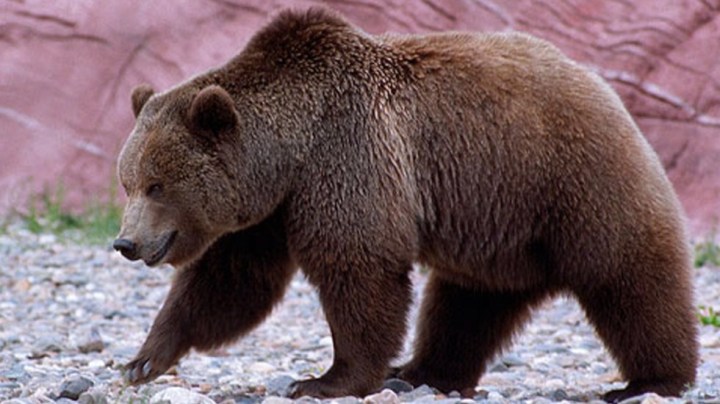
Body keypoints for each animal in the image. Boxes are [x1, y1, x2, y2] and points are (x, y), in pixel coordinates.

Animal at [113, 8, 698, 402]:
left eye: (157, 184)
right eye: (129, 181)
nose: (125, 242)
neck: (290, 153)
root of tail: (599, 83)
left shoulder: (347, 157)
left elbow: (359, 268)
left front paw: (324, 379)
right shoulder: (272, 209)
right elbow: (231, 281)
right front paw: (143, 359)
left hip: (568, 178)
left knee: (626, 274)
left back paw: (651, 379)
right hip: (499, 225)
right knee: (468, 304)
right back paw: (424, 371)